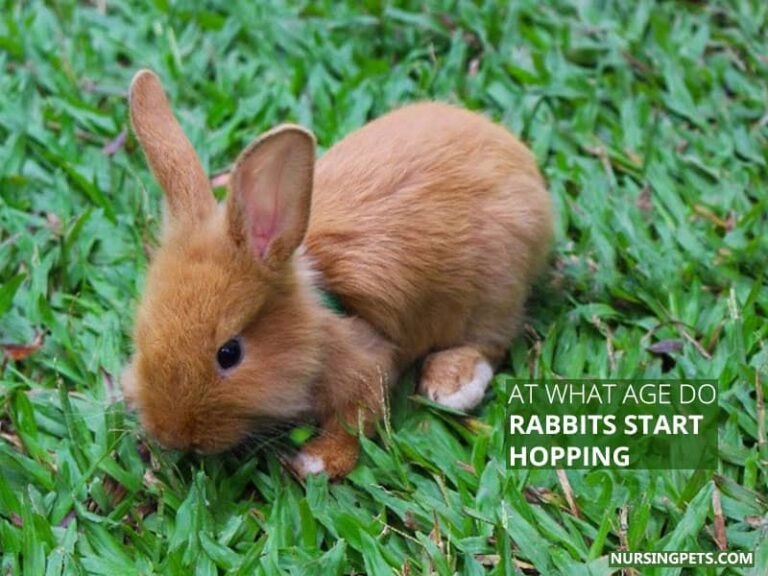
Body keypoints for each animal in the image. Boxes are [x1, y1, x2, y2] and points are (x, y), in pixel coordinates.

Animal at [120, 69, 553, 478]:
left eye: (229, 353)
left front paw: (315, 463)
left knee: (491, 340)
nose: (172, 435)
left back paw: (451, 385)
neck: (317, 322)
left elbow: (354, 421)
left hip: (494, 291)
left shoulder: (369, 366)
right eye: (141, 334)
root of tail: (521, 162)